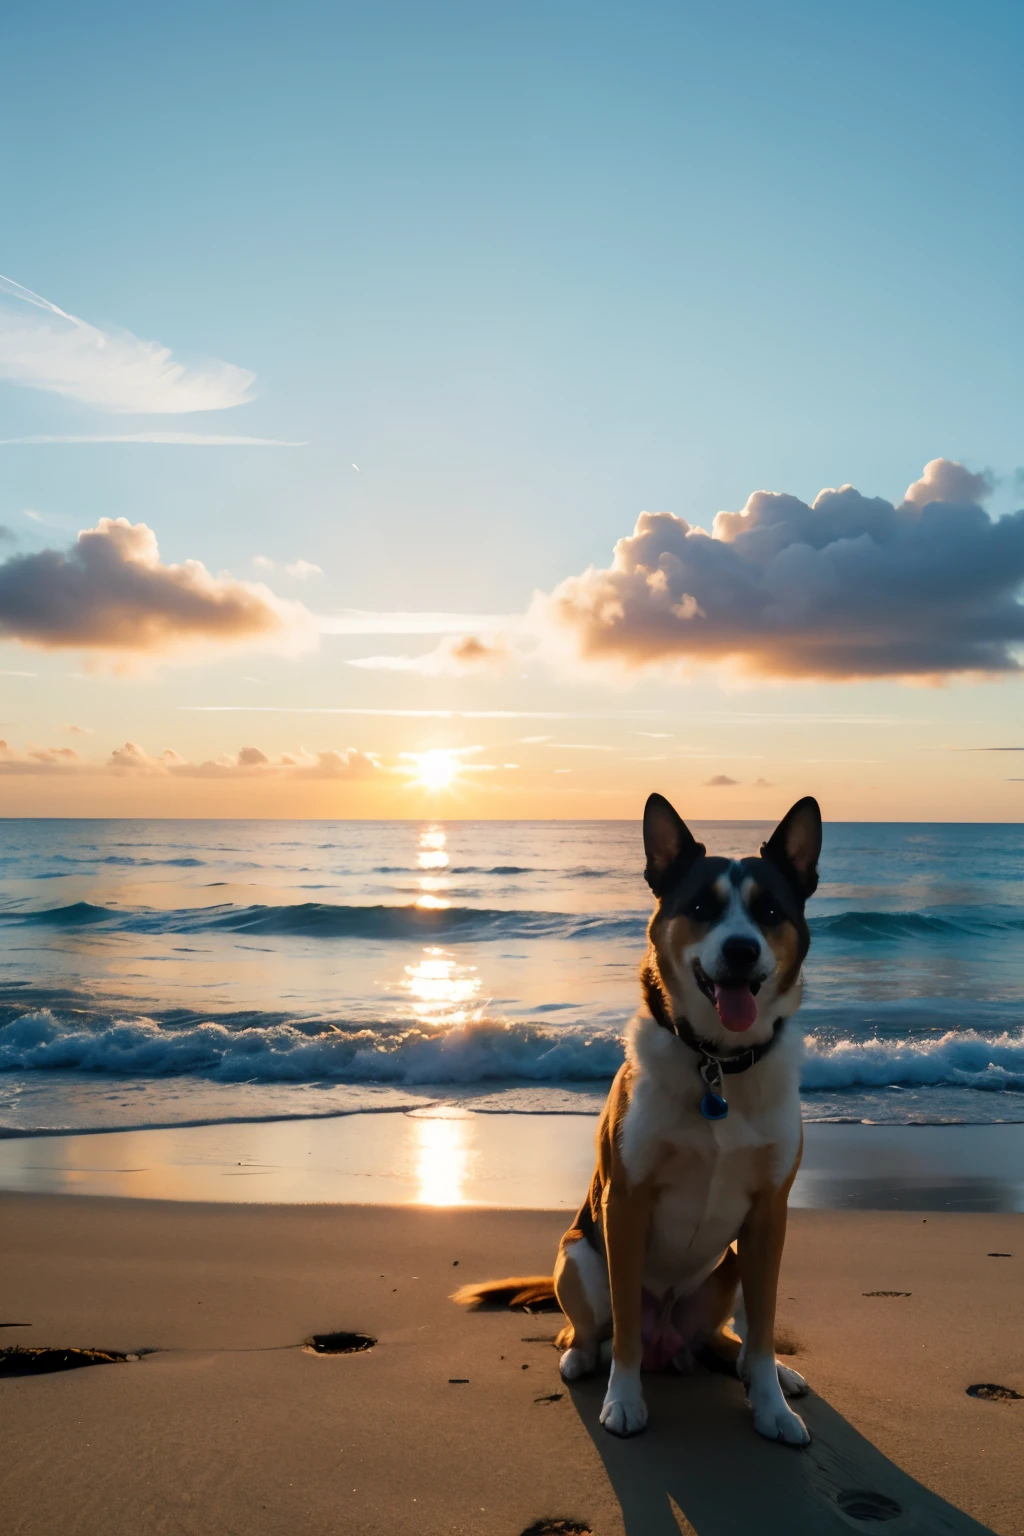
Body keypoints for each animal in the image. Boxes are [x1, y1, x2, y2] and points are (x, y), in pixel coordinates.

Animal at [457, 798, 822, 1443]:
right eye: (700, 908)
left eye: (769, 911)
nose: (741, 950)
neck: (716, 1062)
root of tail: (668, 1342)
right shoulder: (624, 1204)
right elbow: (624, 1322)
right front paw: (623, 1400)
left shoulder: (769, 1215)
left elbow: (763, 1327)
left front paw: (773, 1406)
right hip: (577, 1256)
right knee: (590, 1329)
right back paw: (580, 1358)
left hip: (731, 1267)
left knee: (730, 1336)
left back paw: (766, 1370)